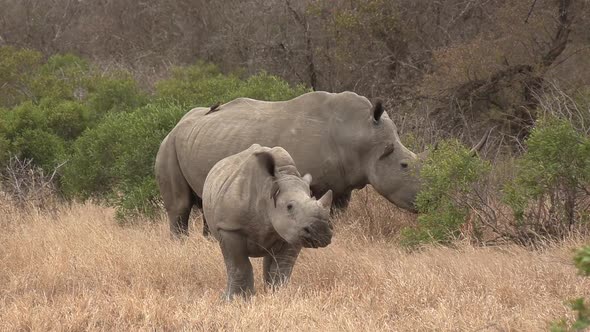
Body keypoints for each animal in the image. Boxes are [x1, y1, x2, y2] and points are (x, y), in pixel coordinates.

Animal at [155, 91, 488, 236]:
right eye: (404, 166)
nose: (433, 202)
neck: (361, 134)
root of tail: (178, 123)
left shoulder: (342, 186)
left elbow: (336, 212)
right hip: (168, 145)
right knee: (180, 206)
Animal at [202, 144, 332, 300]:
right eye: (289, 206)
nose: (321, 233)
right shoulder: (229, 227)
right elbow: (239, 265)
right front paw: (235, 300)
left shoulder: (293, 231)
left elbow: (282, 266)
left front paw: (279, 294)